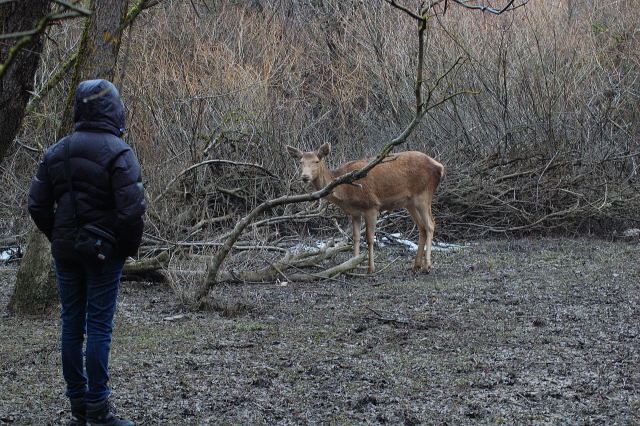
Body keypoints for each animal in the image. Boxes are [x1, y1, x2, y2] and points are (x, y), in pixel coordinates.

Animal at [286, 143, 444, 274]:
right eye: (300, 162)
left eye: (316, 161)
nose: (305, 177)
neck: (346, 192)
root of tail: (440, 167)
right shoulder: (354, 212)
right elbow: (355, 237)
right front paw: (353, 265)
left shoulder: (372, 206)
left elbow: (369, 238)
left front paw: (370, 268)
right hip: (409, 203)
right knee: (422, 227)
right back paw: (416, 265)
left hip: (423, 195)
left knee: (430, 224)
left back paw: (427, 266)